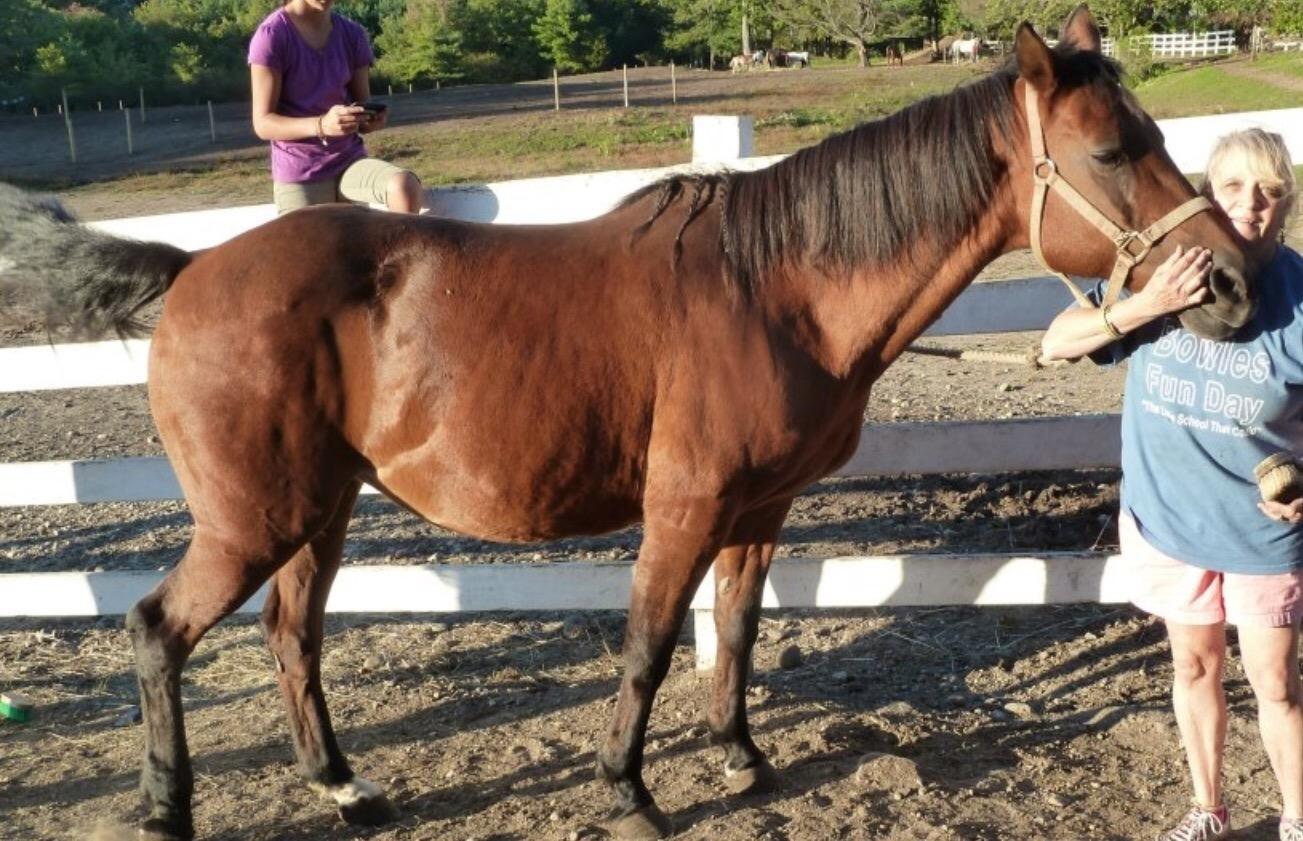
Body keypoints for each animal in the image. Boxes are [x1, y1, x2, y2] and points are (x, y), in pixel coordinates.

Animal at [0, 7, 1257, 840]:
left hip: (324, 511)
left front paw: (741, 757)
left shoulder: (760, 508)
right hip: (256, 518)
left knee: (290, 636)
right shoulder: (684, 504)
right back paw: (166, 806)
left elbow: (735, 633)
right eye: (1112, 151)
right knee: (157, 629)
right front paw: (629, 789)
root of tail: (195, 267)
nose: (1233, 282)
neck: (774, 290)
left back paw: (346, 786)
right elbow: (650, 643)